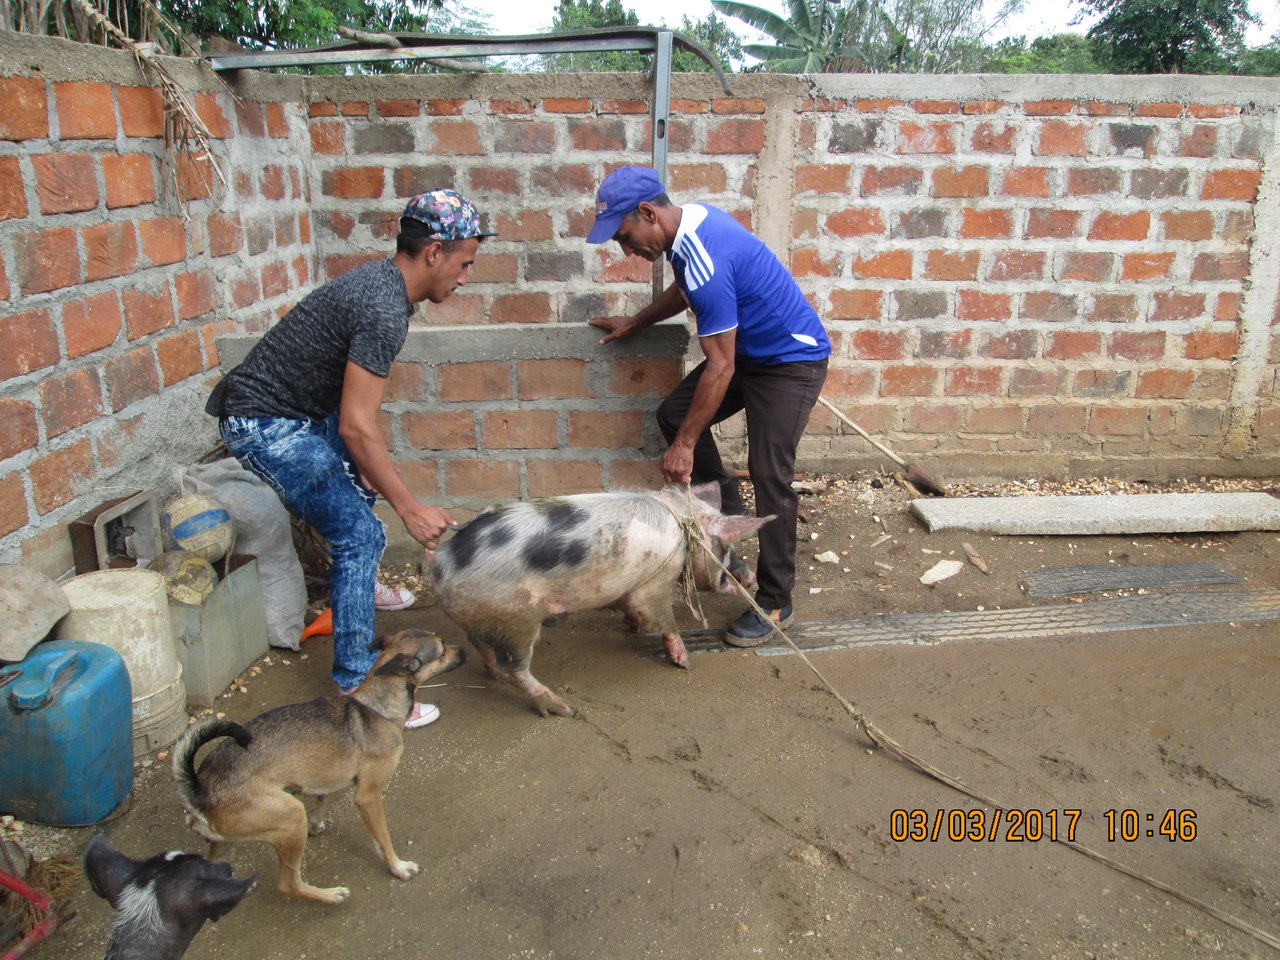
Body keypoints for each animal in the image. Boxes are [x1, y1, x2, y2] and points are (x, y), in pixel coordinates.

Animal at [172, 627, 465, 906]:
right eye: (441, 651)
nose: (465, 651)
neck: (376, 706)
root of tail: (200, 789)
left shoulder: (328, 778)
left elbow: (323, 799)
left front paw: (316, 824)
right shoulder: (368, 797)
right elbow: (383, 839)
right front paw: (399, 868)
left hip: (228, 845)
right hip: (291, 816)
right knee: (288, 884)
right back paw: (332, 895)